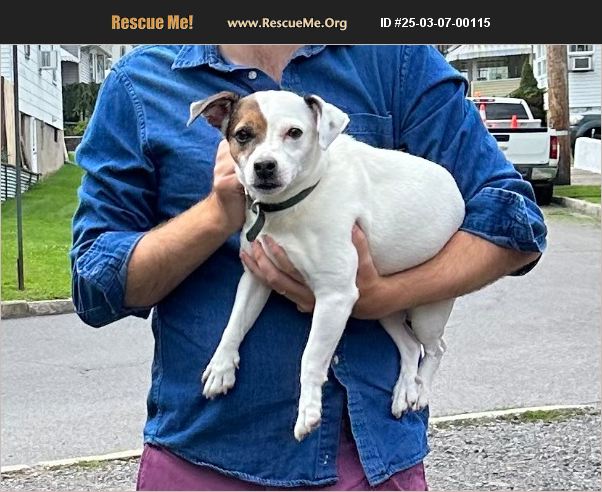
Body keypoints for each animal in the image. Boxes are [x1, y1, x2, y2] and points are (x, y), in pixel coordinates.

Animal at [188, 90, 465, 441]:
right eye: (243, 135)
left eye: (294, 132)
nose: (264, 166)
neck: (291, 206)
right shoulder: (255, 278)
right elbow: (234, 323)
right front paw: (222, 366)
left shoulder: (335, 297)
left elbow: (310, 358)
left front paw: (308, 410)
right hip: (383, 304)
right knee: (409, 347)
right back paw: (405, 390)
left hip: (426, 310)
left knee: (435, 348)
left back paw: (421, 390)